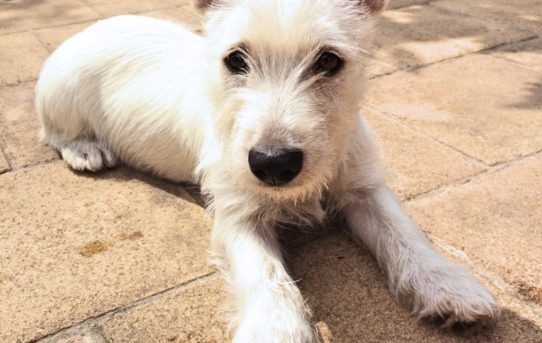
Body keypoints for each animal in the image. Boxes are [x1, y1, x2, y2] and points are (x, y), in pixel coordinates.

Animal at [36, 0, 500, 342]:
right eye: (235, 59)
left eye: (328, 61)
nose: (273, 164)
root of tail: (96, 27)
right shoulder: (238, 213)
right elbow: (264, 274)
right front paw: (277, 328)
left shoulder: (364, 187)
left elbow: (404, 233)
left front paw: (448, 285)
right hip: (60, 96)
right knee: (53, 131)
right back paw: (85, 149)